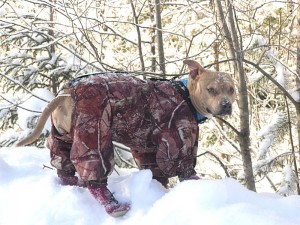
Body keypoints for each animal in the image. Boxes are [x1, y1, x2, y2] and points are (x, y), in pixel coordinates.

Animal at [16, 59, 236, 216]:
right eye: (211, 90)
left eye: (231, 89)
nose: (226, 105)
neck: (186, 96)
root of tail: (67, 92)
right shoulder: (178, 144)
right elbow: (185, 169)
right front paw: (200, 186)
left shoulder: (147, 150)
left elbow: (156, 173)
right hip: (94, 127)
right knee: (94, 164)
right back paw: (112, 205)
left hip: (63, 135)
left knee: (62, 160)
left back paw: (71, 182)